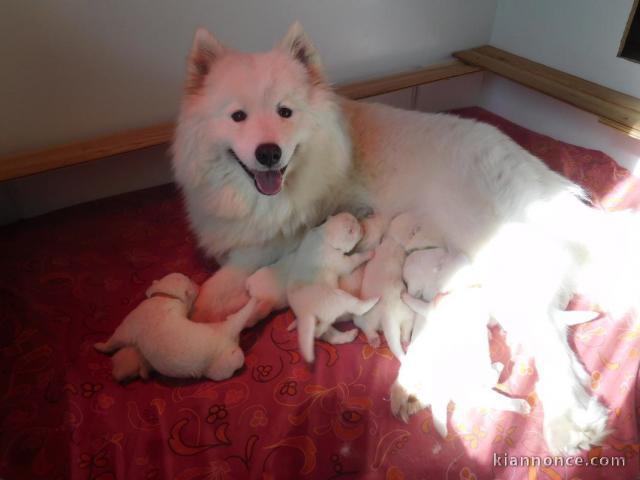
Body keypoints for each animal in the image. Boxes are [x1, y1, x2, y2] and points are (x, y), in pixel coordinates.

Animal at [94, 274, 245, 382]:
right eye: (190, 279)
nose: (199, 285)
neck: (166, 297)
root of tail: (227, 330)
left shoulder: (129, 325)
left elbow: (115, 339)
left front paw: (100, 346)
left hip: (223, 362)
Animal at [171, 21, 640, 454]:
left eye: (285, 112)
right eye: (238, 117)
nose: (269, 152)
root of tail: (536, 174)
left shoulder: (293, 231)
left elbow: (239, 267)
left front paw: (208, 305)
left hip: (496, 253)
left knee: (549, 338)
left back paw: (570, 423)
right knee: (555, 322)